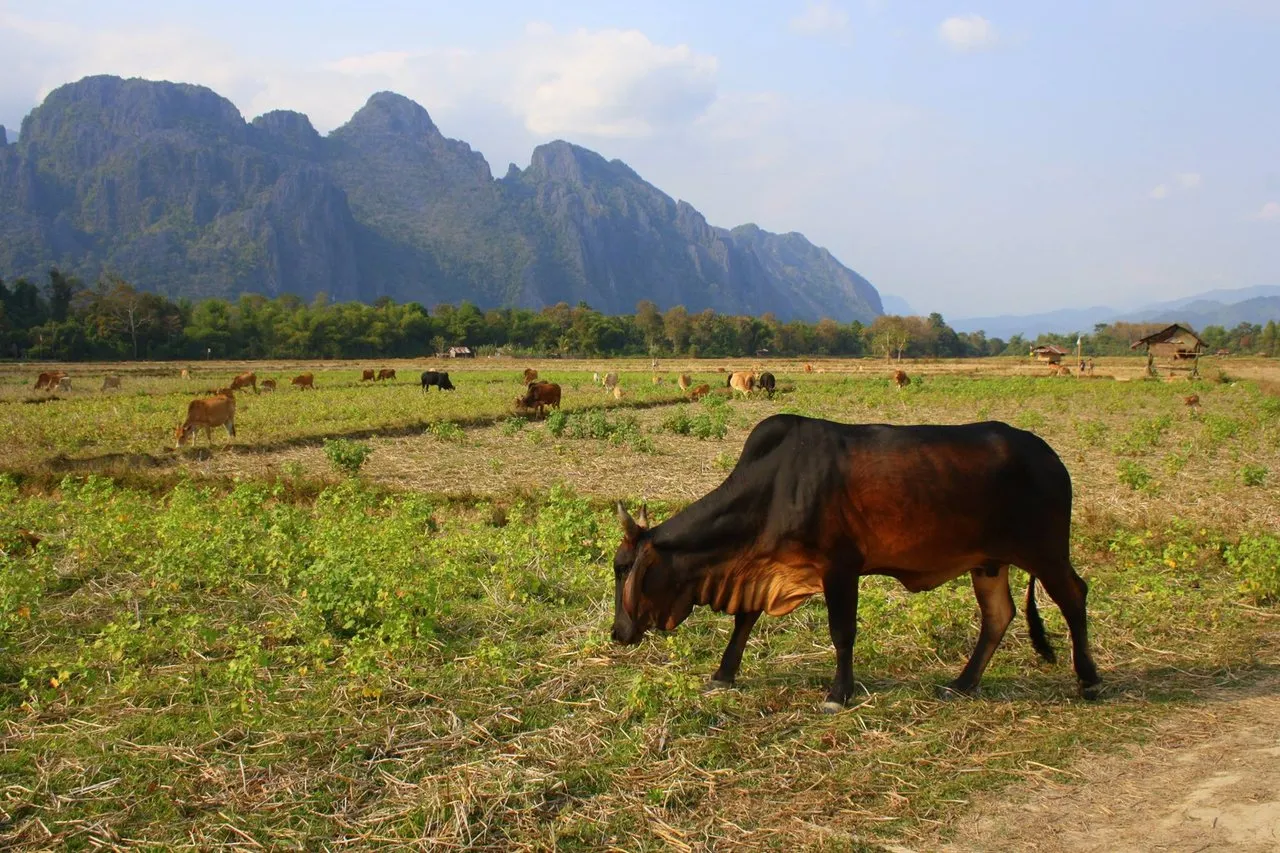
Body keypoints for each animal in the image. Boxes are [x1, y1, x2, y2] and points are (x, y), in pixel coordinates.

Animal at [609, 412, 1100, 712]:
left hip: (1046, 552)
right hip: (989, 562)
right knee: (999, 616)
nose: (618, 633)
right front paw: (723, 674)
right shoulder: (763, 568)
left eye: (622, 569)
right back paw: (962, 684)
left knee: (1074, 597)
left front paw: (838, 694)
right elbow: (744, 620)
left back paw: (1089, 680)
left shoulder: (840, 568)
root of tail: (1049, 456)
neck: (775, 487)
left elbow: (842, 633)